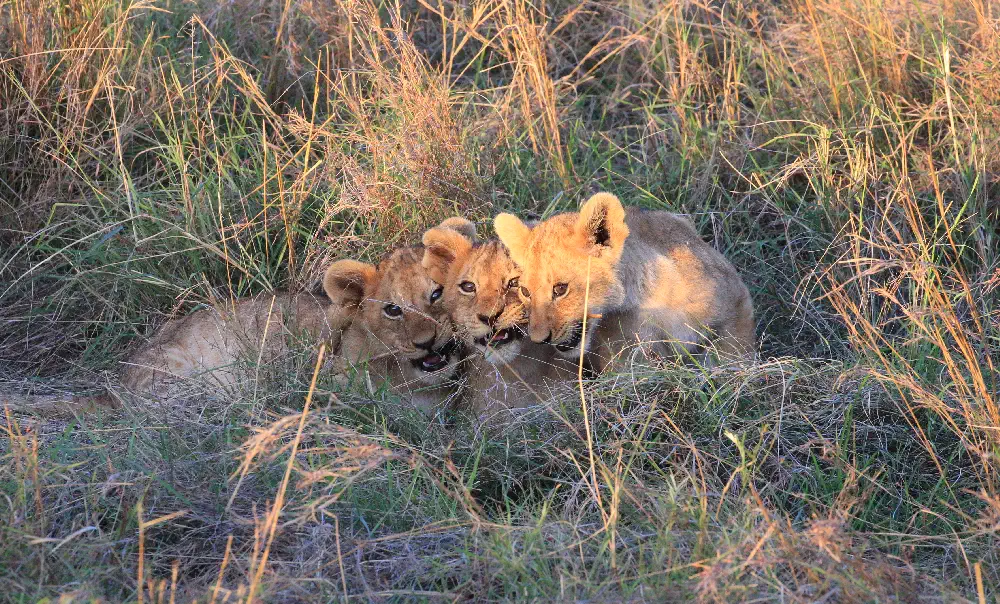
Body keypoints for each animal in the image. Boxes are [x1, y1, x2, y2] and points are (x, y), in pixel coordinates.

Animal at [493, 192, 754, 370]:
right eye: (525, 291)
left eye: (560, 289)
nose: (539, 340)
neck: (646, 298)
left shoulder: (737, 301)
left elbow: (733, 353)